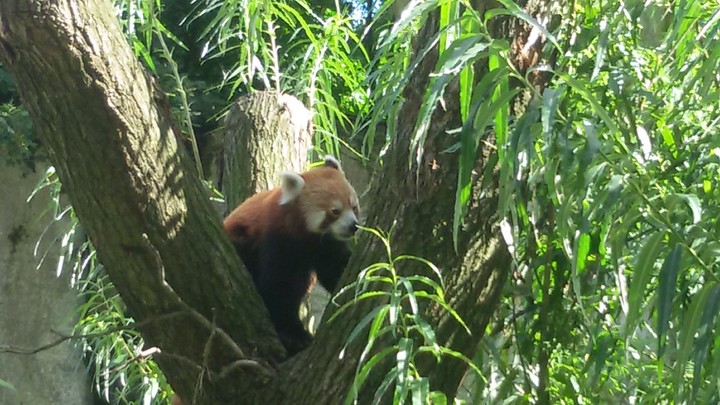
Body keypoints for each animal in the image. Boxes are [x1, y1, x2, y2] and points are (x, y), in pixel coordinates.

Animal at [223, 156, 360, 355]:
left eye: (354, 206)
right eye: (335, 211)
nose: (353, 226)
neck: (305, 236)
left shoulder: (325, 245)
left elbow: (334, 267)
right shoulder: (276, 241)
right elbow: (278, 287)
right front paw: (294, 335)